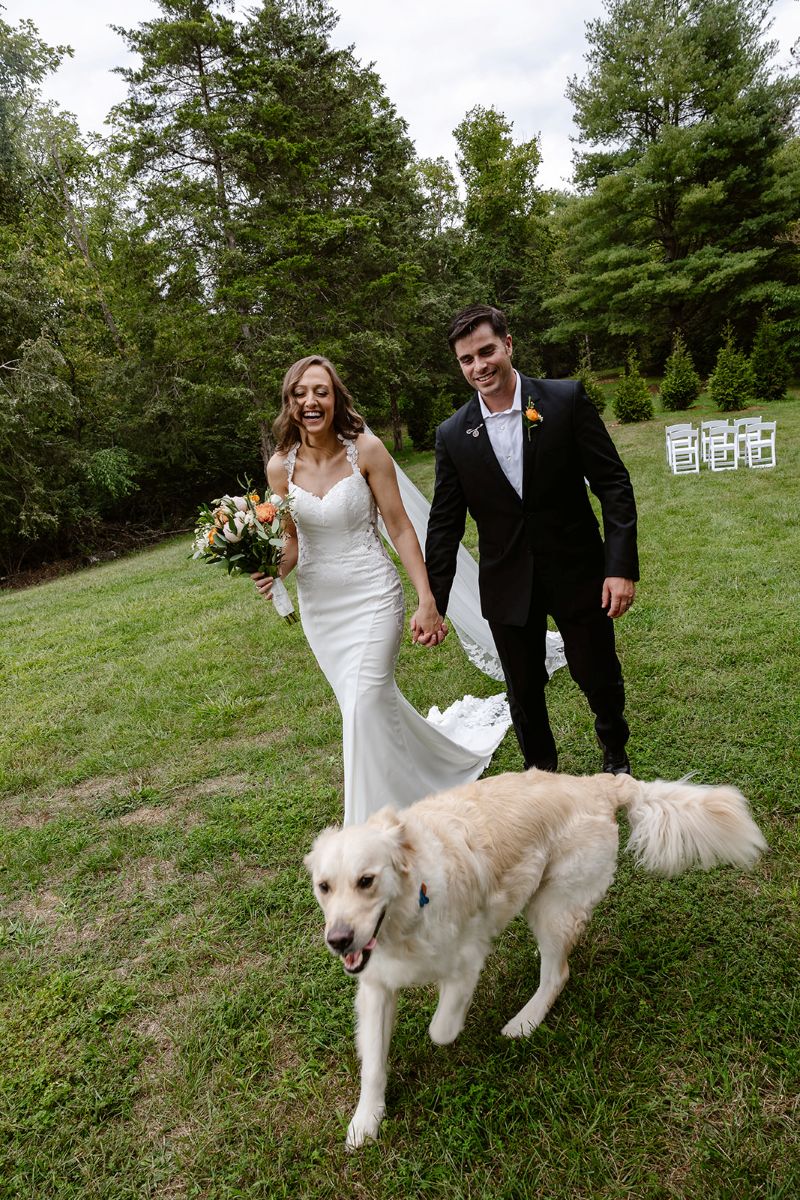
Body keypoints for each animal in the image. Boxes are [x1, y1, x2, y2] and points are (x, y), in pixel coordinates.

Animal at [303, 763, 767, 1147]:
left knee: (557, 973)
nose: (339, 940)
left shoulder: (467, 958)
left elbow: (441, 1029)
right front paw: (367, 1119)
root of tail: (599, 783)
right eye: (324, 886)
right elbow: (373, 1062)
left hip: (552, 907)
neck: (408, 909)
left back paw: (525, 1020)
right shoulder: (374, 985)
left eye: (366, 881)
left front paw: (451, 1027)